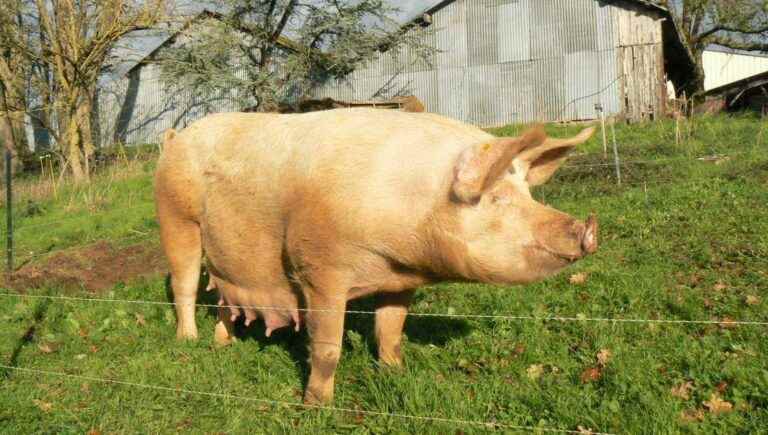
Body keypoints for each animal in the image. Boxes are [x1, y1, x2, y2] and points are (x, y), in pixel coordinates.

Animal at [154, 108, 600, 406]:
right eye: (496, 198)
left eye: (527, 192)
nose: (586, 231)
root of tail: (176, 136)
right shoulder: (319, 268)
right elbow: (327, 347)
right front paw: (317, 406)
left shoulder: (400, 282)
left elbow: (391, 332)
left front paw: (395, 373)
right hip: (175, 217)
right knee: (184, 284)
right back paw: (188, 341)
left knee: (223, 297)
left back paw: (222, 346)